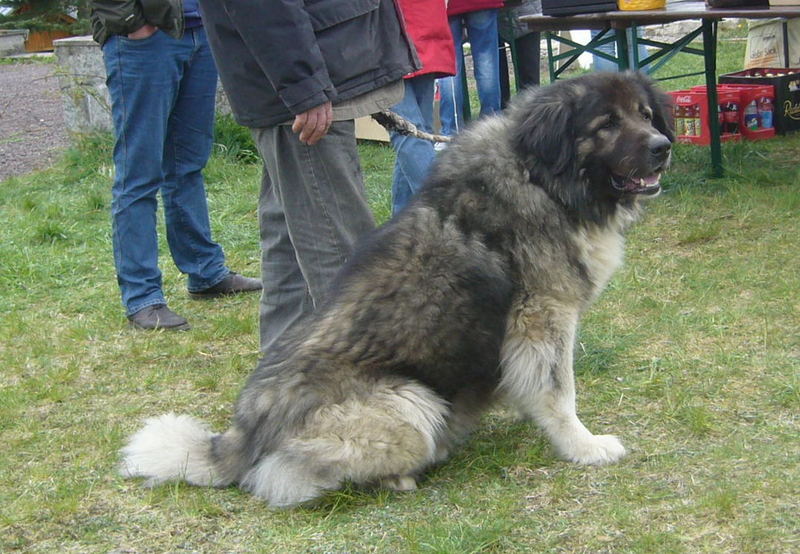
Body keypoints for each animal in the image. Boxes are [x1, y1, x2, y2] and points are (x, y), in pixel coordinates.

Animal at [119, 72, 674, 508]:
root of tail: (241, 440)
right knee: (289, 477)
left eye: (646, 115)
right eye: (606, 125)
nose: (662, 147)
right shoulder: (544, 314)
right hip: (412, 402)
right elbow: (560, 392)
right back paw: (400, 476)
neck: (539, 174)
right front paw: (585, 447)